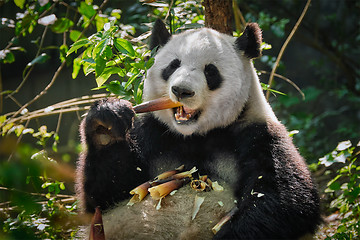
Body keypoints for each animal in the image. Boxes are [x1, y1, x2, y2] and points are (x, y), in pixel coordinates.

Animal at [76, 19, 320, 239]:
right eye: (173, 65)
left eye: (210, 71)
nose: (181, 91)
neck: (195, 135)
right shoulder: (151, 132)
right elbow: (106, 197)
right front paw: (106, 125)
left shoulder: (258, 134)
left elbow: (284, 200)